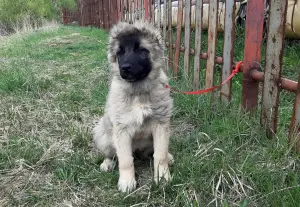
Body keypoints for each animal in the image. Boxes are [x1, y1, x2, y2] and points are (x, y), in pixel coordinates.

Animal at [93, 20, 173, 192]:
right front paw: (127, 182)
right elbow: (125, 160)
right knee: (112, 154)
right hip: (103, 136)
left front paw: (162, 177)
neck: (139, 92)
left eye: (141, 50)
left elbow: (160, 154)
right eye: (120, 53)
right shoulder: (122, 130)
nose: (125, 68)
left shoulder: (161, 125)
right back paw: (107, 163)